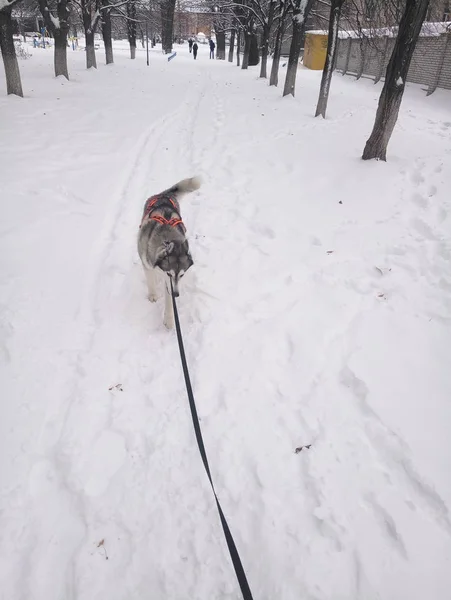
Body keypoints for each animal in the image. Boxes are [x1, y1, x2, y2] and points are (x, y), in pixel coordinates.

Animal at [138, 176, 201, 330]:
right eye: (169, 274)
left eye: (182, 275)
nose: (176, 294)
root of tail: (164, 195)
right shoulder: (147, 263)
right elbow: (150, 280)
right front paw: (153, 295)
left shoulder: (170, 285)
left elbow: (169, 301)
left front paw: (169, 320)